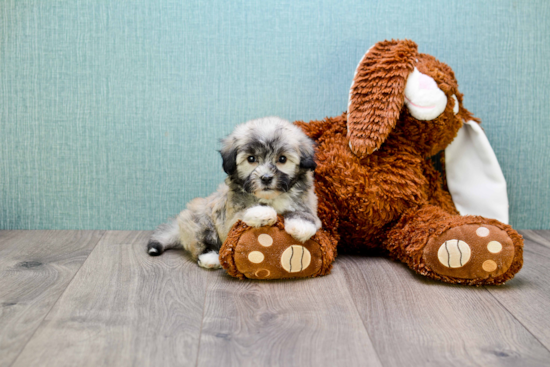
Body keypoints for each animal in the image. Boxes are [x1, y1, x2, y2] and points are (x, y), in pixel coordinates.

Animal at [147, 118, 322, 270]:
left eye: (282, 159)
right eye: (251, 159)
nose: (266, 178)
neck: (270, 198)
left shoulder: (306, 202)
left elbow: (306, 214)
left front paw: (301, 225)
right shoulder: (230, 218)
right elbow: (244, 213)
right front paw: (264, 212)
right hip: (201, 222)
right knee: (200, 242)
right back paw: (210, 257)